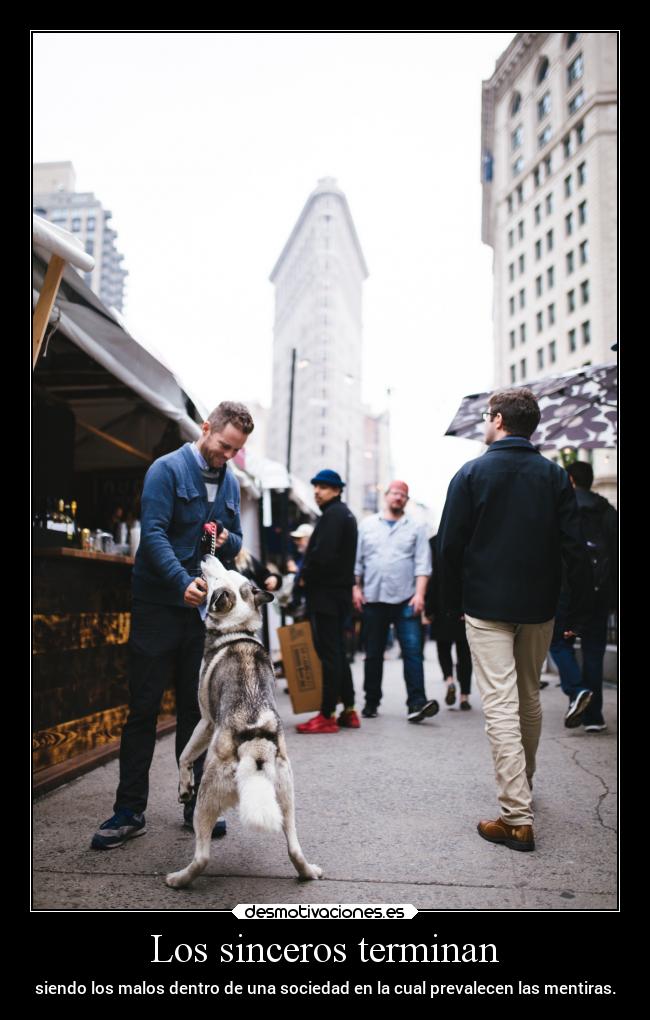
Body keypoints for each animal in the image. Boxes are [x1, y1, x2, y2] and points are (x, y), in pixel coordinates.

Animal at [164, 554, 322, 889]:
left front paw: (183, 787)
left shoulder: (206, 721)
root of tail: (256, 745)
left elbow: (184, 755)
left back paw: (179, 879)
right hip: (287, 799)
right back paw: (308, 871)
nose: (208, 555)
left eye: (219, 574)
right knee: (294, 847)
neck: (236, 631)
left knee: (202, 856)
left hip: (206, 797)